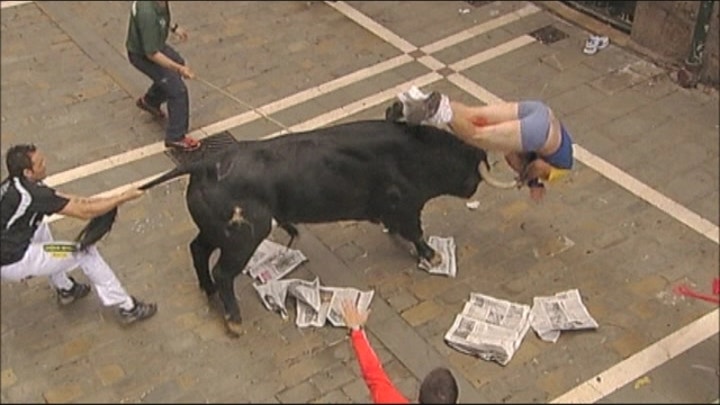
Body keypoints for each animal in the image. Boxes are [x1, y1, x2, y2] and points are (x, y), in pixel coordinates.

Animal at [77, 118, 512, 332]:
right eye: (471, 165)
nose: (476, 182)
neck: (417, 151)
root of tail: (205, 163)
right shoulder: (405, 204)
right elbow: (416, 230)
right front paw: (431, 255)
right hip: (244, 236)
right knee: (223, 271)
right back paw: (234, 321)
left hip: (217, 231)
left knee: (198, 251)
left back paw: (209, 295)